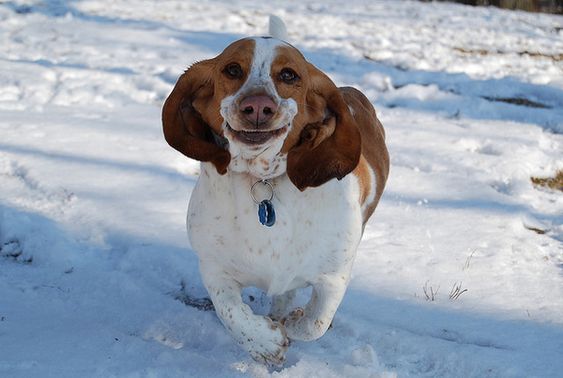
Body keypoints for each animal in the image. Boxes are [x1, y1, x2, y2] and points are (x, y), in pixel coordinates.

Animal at [162, 18, 388, 366]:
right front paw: (265, 342)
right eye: (232, 69)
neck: (262, 175)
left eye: (289, 75)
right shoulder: (214, 267)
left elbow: (315, 322)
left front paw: (292, 323)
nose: (257, 106)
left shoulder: (333, 277)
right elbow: (230, 312)